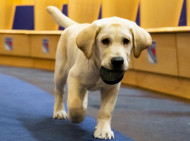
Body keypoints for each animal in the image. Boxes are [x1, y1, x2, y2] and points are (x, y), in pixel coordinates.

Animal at [47, 6, 151, 139]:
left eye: (126, 41)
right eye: (105, 41)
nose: (117, 61)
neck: (98, 67)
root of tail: (76, 25)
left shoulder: (111, 88)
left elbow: (106, 111)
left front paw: (103, 130)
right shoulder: (74, 77)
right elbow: (74, 103)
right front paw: (76, 116)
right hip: (61, 72)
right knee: (59, 92)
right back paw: (59, 111)